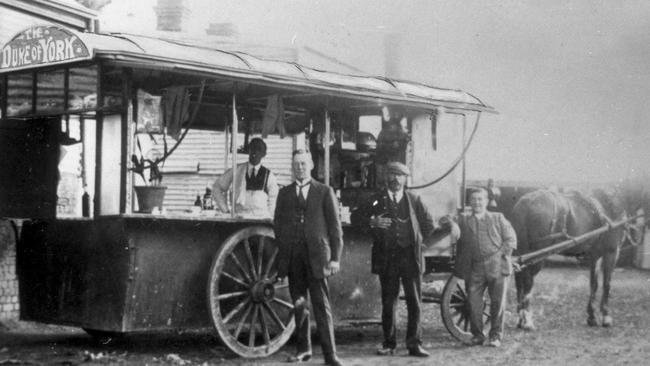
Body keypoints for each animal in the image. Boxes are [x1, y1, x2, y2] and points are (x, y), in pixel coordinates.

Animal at [508, 184, 644, 330]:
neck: (611, 200)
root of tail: (525, 203)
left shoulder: (595, 255)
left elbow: (594, 284)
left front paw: (592, 317)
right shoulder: (612, 252)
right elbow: (607, 284)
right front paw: (606, 317)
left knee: (519, 280)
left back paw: (520, 319)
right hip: (537, 255)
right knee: (528, 281)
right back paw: (527, 321)